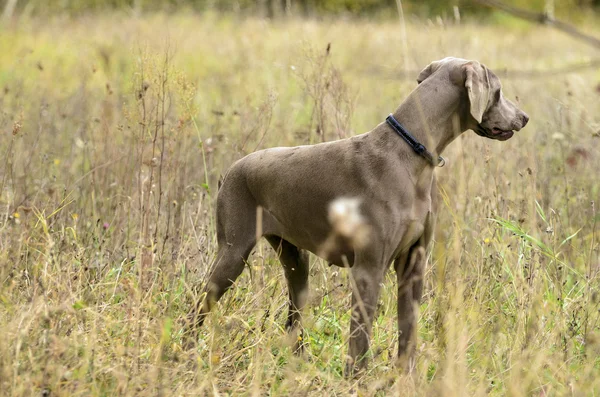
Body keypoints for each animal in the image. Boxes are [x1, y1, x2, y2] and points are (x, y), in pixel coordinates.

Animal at [189, 57, 528, 372]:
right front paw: (357, 380)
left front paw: (406, 378)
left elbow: (408, 331)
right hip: (233, 253)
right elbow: (360, 337)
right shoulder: (368, 268)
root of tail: (232, 168)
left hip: (296, 261)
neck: (412, 155)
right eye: (498, 92)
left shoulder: (413, 264)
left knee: (293, 317)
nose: (524, 118)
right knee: (199, 306)